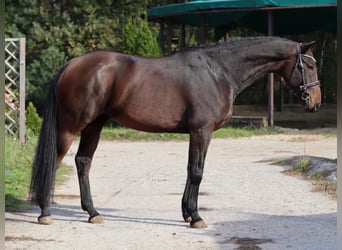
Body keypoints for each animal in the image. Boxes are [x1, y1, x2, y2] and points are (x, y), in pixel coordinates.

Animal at [28, 36, 320, 227]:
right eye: (310, 65)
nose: (315, 102)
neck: (218, 71)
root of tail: (72, 65)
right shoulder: (202, 131)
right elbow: (197, 172)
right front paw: (196, 217)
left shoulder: (196, 133)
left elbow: (191, 170)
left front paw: (187, 213)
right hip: (71, 126)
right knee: (54, 162)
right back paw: (45, 213)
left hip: (94, 125)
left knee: (83, 162)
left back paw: (92, 212)